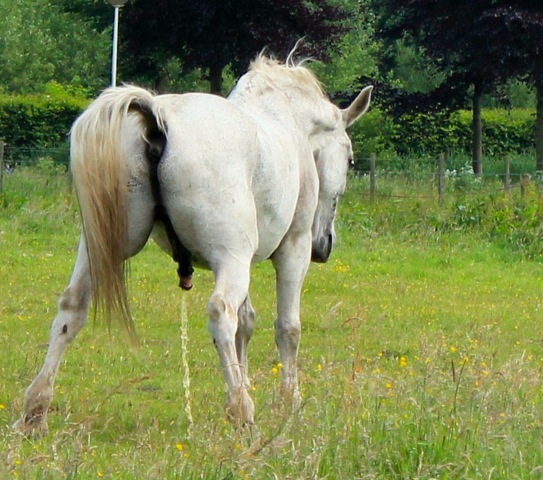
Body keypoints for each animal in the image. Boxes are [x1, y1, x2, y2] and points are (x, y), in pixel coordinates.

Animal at [12, 52, 372, 436]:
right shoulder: (291, 249)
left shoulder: (246, 261)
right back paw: (241, 410)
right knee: (221, 313)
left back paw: (35, 410)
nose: (324, 246)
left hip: (103, 250)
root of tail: (157, 116)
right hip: (232, 259)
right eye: (350, 159)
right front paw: (289, 404)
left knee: (72, 307)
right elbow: (286, 328)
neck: (283, 118)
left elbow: (247, 323)